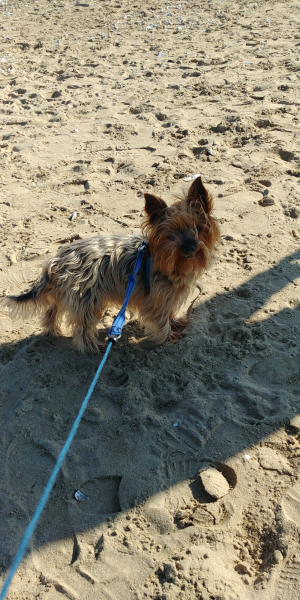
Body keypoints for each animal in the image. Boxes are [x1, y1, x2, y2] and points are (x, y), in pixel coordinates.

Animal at [1, 176, 220, 352]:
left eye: (198, 228)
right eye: (171, 235)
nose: (190, 248)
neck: (171, 262)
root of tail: (56, 260)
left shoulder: (169, 295)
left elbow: (170, 312)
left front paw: (175, 322)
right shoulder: (157, 298)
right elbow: (160, 320)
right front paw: (169, 337)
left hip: (65, 292)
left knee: (52, 310)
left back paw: (53, 330)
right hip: (86, 297)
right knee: (81, 327)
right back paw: (92, 347)